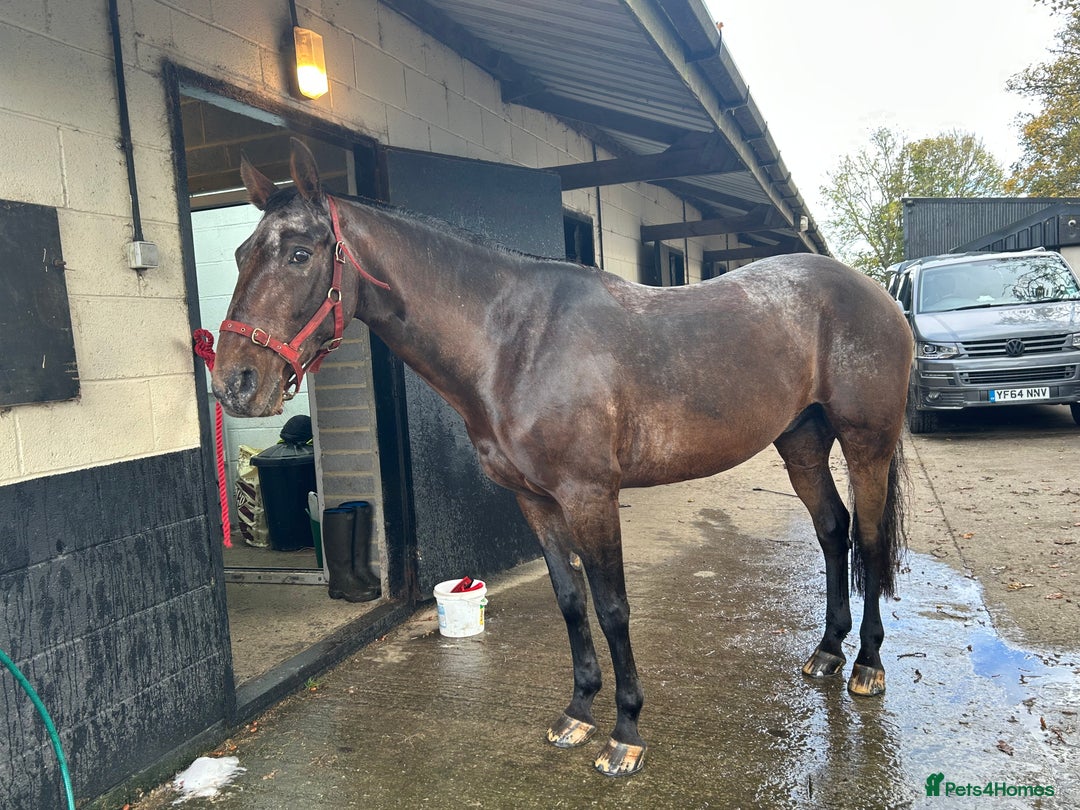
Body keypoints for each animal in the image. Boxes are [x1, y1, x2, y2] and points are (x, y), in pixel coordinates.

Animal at [211, 139, 913, 777]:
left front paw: (625, 734)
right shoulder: (536, 500)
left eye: (300, 254)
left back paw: (867, 666)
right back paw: (827, 652)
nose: (235, 383)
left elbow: (613, 607)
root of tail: (876, 293)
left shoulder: (589, 495)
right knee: (834, 531)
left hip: (866, 443)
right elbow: (571, 601)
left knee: (870, 538)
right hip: (801, 443)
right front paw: (577, 713)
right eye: (242, 255)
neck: (514, 342)